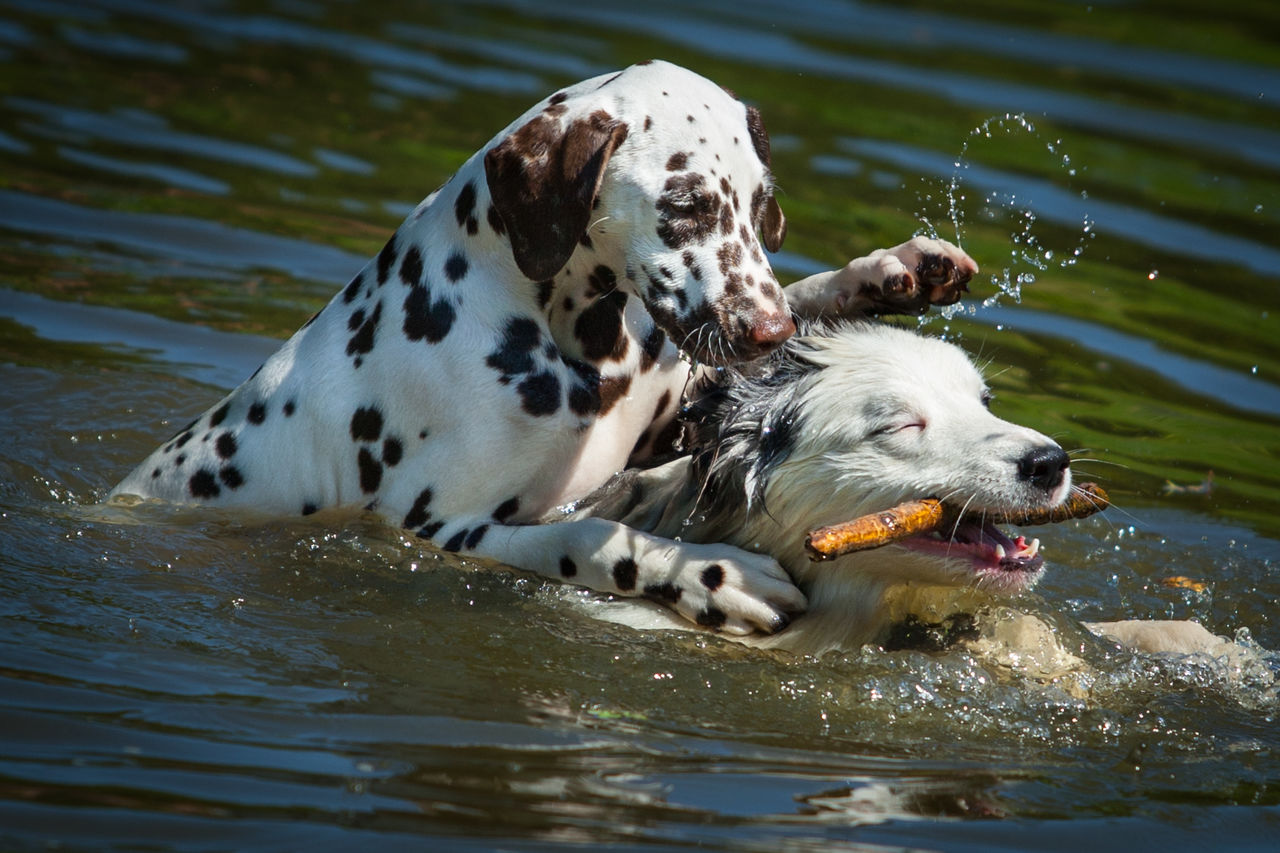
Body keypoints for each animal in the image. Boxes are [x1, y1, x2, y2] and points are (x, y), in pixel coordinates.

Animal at [110, 59, 967, 630]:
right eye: (685, 205)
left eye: (760, 205)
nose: (767, 334)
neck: (576, 342)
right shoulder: (447, 528)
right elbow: (588, 537)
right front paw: (713, 576)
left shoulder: (670, 417)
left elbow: (806, 290)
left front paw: (892, 270)